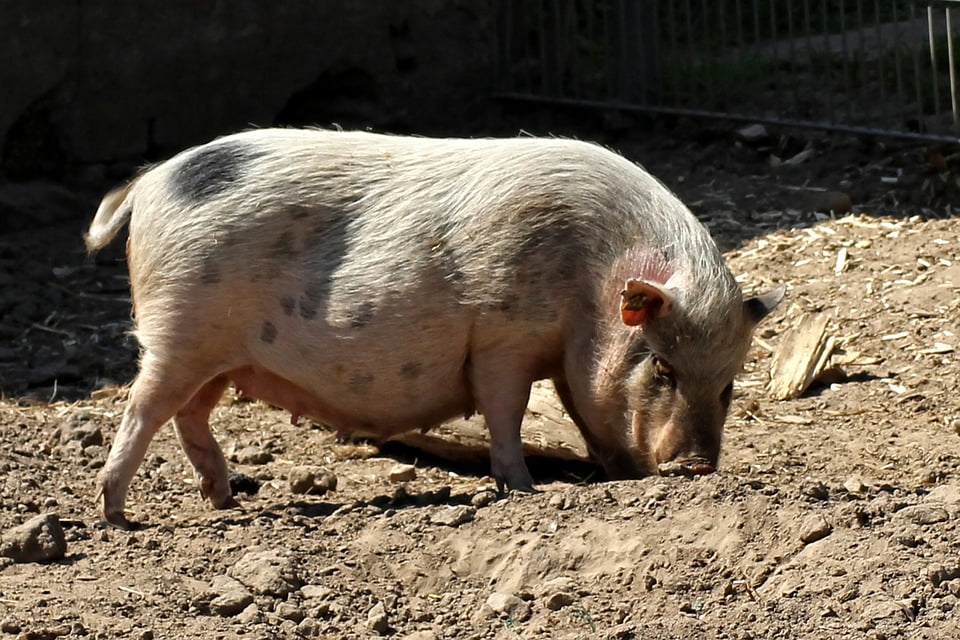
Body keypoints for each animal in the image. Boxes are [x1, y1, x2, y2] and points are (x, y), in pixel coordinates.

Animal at [85, 128, 783, 528]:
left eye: (728, 385)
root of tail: (150, 183)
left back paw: (225, 499)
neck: (588, 282)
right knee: (143, 408)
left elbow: (581, 411)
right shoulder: (503, 339)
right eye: (661, 364)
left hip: (218, 352)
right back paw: (117, 516)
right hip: (178, 327)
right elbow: (507, 412)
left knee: (191, 413)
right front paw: (524, 488)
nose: (696, 467)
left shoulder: (562, 359)